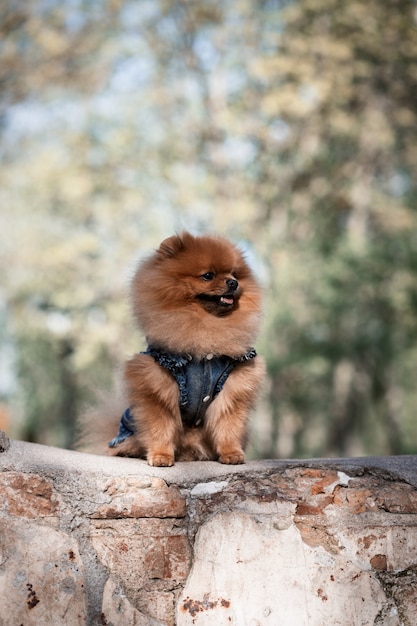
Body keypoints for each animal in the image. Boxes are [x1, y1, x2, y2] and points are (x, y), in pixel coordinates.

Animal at [81, 230, 264, 464]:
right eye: (208, 275)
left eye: (234, 274)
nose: (233, 283)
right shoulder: (157, 387)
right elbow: (161, 427)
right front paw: (160, 455)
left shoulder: (233, 389)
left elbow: (228, 425)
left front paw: (231, 453)